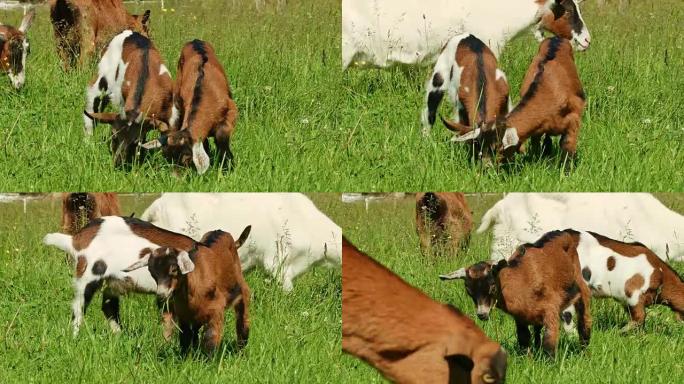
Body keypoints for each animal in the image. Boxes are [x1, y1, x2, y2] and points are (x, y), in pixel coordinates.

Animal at [83, 29, 174, 167]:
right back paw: (89, 144)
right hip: (100, 80)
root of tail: (130, 32)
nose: (118, 163)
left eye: (135, 142)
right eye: (113, 136)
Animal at [123, 226, 251, 356]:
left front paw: (208, 359)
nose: (161, 295)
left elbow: (210, 338)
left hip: (242, 292)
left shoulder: (216, 311)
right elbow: (185, 338)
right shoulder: (184, 315)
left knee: (242, 321)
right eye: (151, 272)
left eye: (174, 269)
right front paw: (185, 356)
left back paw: (240, 350)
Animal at [142, 39, 238, 174]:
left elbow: (221, 139)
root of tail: (195, 41)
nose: (174, 178)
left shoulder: (231, 113)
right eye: (166, 157)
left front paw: (227, 167)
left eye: (187, 158)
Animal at [440, 228, 592, 356]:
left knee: (584, 320)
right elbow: (524, 340)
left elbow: (549, 342)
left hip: (580, 289)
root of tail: (564, 233)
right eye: (468, 290)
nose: (482, 314)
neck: (523, 280)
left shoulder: (551, 308)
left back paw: (584, 351)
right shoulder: (520, 317)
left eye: (492, 287)